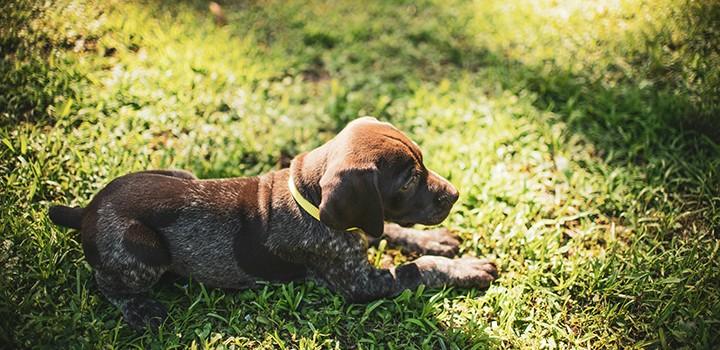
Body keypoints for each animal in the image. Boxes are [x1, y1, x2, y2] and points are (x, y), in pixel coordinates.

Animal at [47, 117, 498, 330]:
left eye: (423, 162)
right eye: (407, 181)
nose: (455, 194)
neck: (309, 200)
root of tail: (87, 209)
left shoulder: (366, 227)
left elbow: (389, 228)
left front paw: (437, 241)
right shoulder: (361, 284)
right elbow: (417, 269)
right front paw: (467, 268)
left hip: (179, 173)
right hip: (143, 246)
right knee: (107, 285)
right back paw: (140, 309)